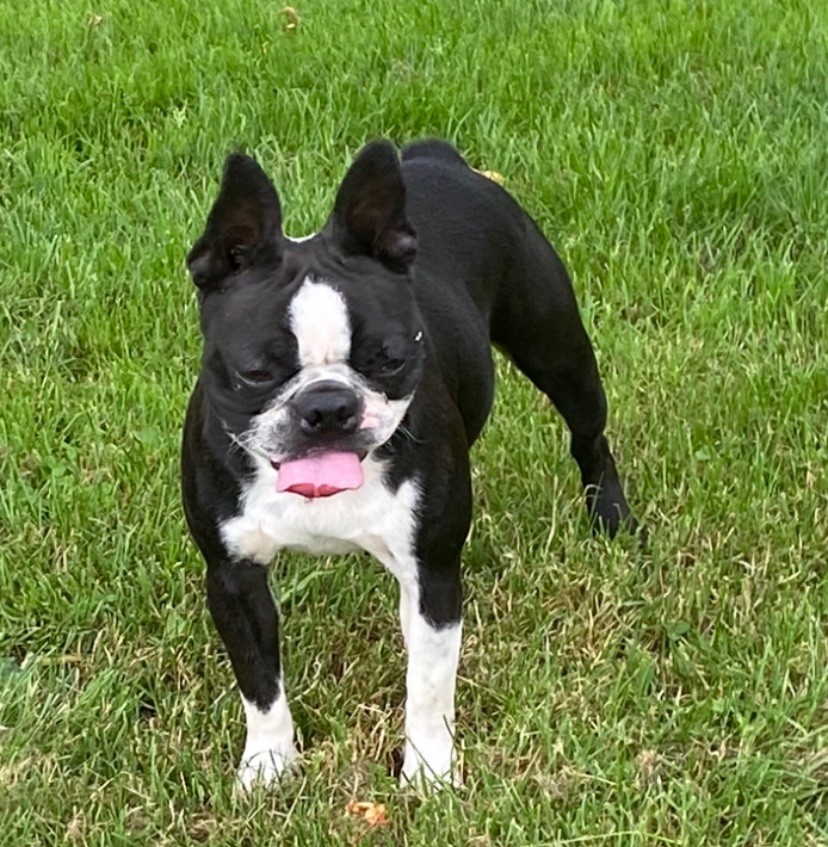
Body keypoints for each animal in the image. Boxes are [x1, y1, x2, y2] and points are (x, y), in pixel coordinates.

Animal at [181, 139, 634, 791]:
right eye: (256, 372)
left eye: (390, 359)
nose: (328, 406)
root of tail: (436, 157)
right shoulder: (233, 579)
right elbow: (260, 684)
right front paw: (268, 766)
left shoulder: (432, 576)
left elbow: (427, 686)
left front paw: (429, 774)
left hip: (555, 345)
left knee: (589, 434)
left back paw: (611, 514)